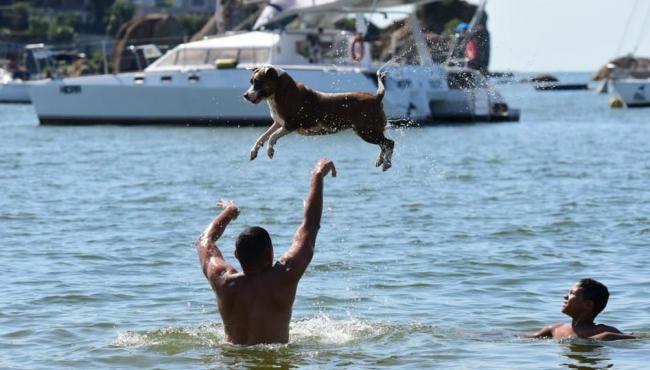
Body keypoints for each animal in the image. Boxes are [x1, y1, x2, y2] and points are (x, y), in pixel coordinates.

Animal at [243, 64, 394, 171]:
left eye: (258, 82)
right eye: (251, 81)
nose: (245, 95)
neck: (282, 92)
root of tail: (376, 97)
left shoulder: (291, 125)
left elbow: (272, 137)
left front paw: (270, 151)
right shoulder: (278, 123)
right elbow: (262, 137)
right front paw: (254, 151)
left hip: (367, 131)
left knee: (389, 143)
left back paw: (386, 163)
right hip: (371, 130)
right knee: (384, 144)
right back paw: (381, 160)